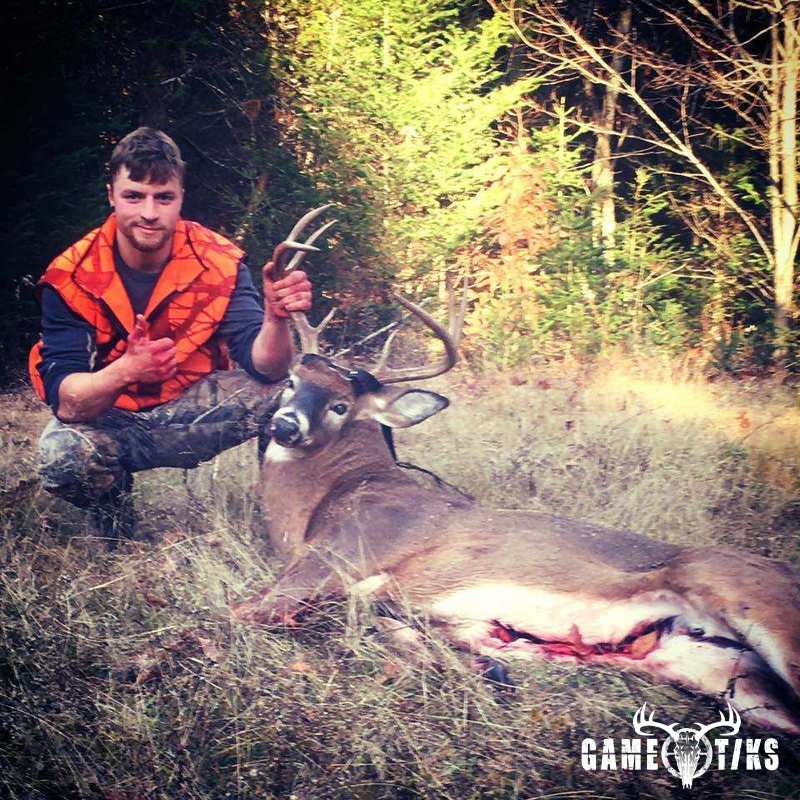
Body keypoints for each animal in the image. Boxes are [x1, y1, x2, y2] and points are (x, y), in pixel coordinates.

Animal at [231, 207, 800, 735]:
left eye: (340, 406)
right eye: (291, 381)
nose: (284, 425)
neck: (322, 502)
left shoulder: (340, 553)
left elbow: (242, 612)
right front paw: (482, 667)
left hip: (754, 600)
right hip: (724, 673)